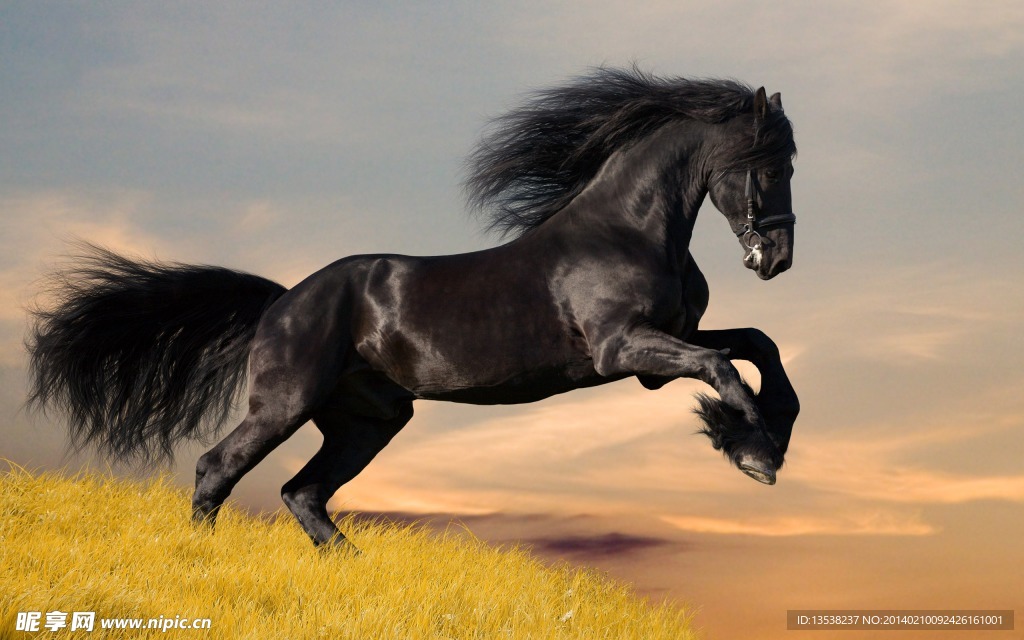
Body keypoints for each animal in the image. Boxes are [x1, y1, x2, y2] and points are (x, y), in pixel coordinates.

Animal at [27, 67, 800, 550]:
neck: (628, 229)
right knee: (218, 468)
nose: (777, 259)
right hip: (285, 403)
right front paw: (752, 450)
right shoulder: (624, 350)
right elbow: (723, 368)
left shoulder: (662, 349)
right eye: (768, 164)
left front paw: (765, 436)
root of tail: (282, 302)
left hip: (368, 420)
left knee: (303, 492)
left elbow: (757, 345)